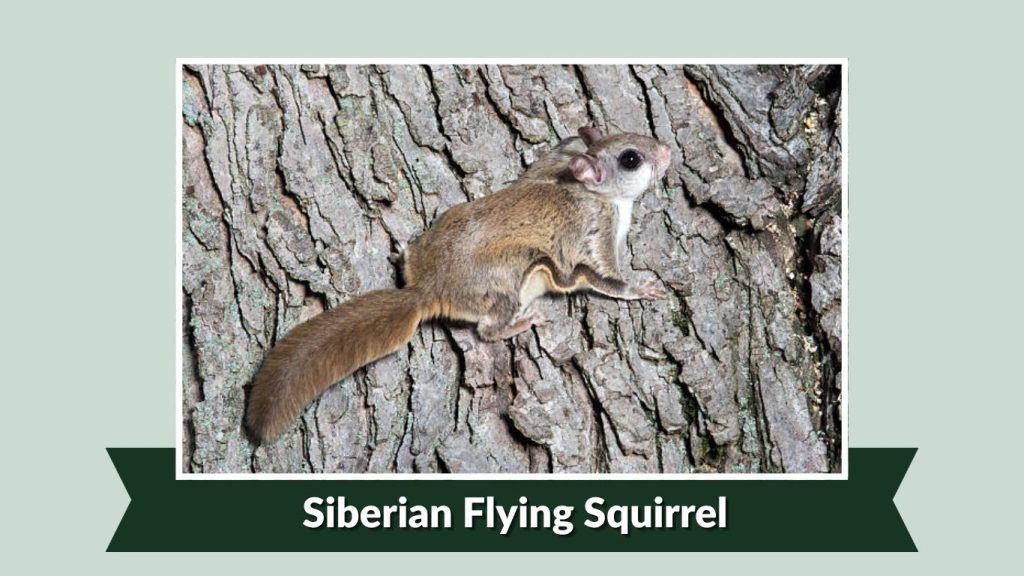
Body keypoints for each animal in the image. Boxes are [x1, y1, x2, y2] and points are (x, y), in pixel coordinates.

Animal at [246, 126, 673, 443]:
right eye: (631, 158)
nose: (668, 150)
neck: (592, 192)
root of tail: (430, 290)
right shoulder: (595, 235)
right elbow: (605, 277)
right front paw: (641, 289)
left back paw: (402, 252)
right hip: (508, 281)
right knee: (487, 329)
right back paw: (520, 322)